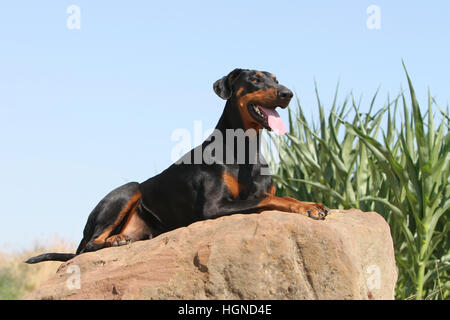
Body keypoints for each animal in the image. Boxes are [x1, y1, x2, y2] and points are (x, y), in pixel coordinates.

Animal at [26, 69, 328, 264]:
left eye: (276, 79)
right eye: (255, 79)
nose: (287, 93)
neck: (245, 148)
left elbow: (274, 195)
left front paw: (309, 203)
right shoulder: (213, 208)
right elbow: (269, 198)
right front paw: (307, 207)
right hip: (129, 189)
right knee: (90, 244)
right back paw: (113, 241)